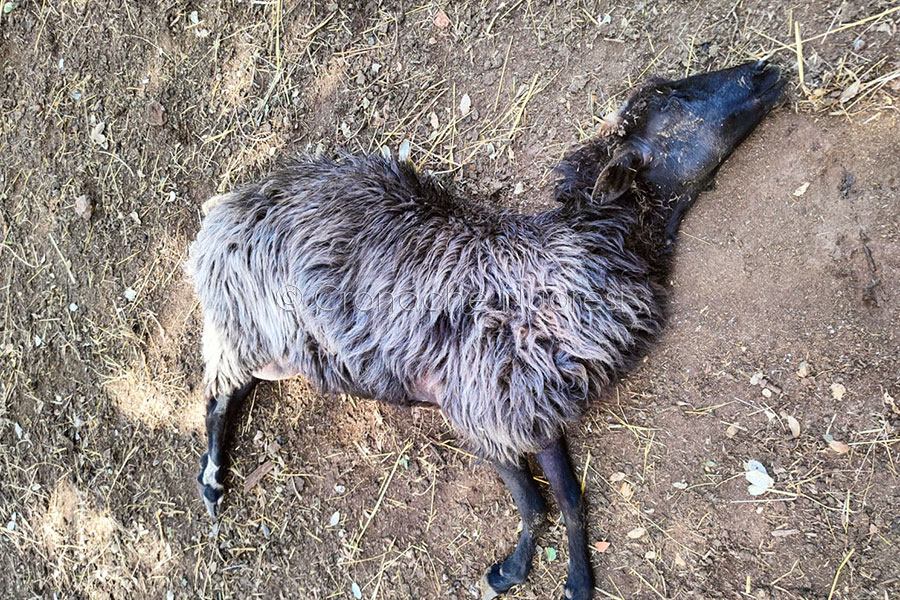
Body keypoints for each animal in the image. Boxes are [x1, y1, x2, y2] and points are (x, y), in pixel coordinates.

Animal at [188, 62, 780, 600]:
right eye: (669, 97)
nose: (763, 70)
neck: (560, 264)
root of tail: (223, 207)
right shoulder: (479, 409)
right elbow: (534, 502)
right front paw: (511, 572)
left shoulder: (536, 410)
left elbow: (569, 496)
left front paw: (577, 581)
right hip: (240, 326)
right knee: (216, 395)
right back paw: (212, 482)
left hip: (272, 348)